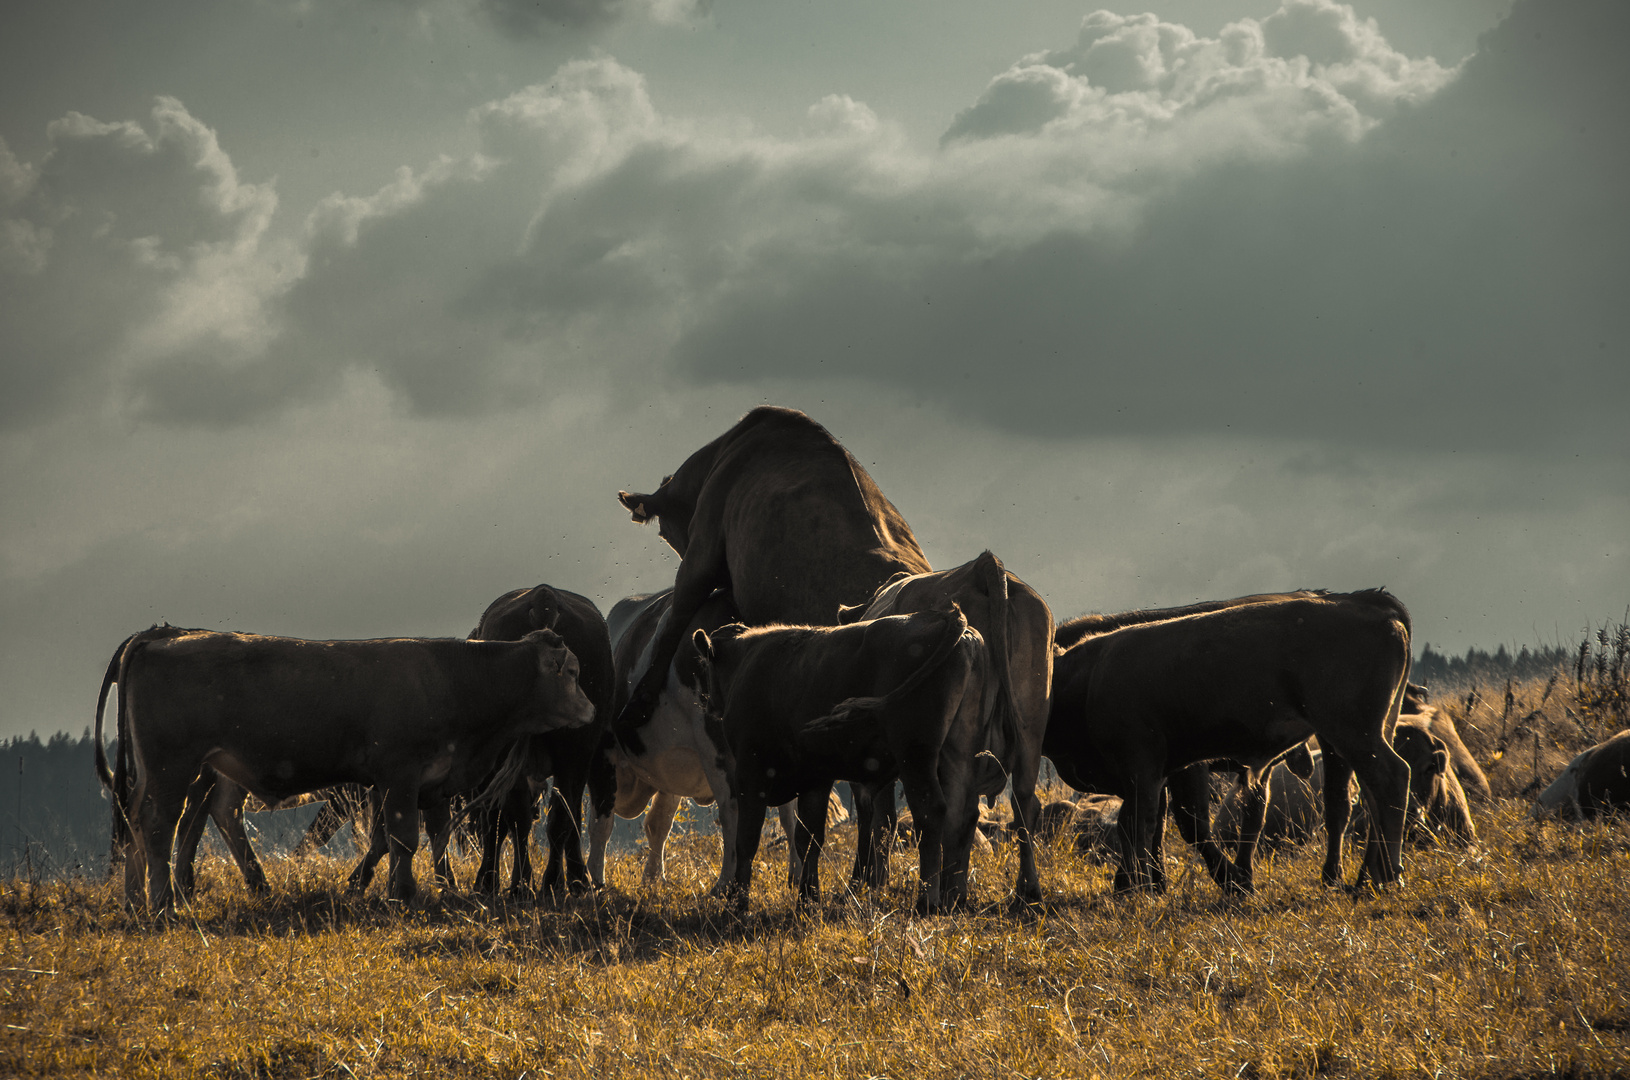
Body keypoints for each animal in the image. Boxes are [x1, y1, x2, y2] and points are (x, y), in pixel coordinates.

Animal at [95, 625, 596, 912]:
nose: (591, 710)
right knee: (160, 823)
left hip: (171, 770)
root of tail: (161, 639)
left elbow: (408, 838)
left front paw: (415, 888)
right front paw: (402, 894)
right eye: (572, 672)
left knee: (145, 818)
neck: (453, 678)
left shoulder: (426, 783)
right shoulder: (399, 775)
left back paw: (135, 900)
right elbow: (403, 837)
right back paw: (163, 904)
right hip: (172, 766)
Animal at [691, 609, 991, 912]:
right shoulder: (815, 780)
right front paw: (807, 900)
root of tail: (942, 616)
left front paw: (738, 902)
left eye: (705, 665)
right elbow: (809, 839)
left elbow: (747, 839)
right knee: (962, 815)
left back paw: (926, 901)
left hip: (915, 755)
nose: (707, 703)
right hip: (959, 752)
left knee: (930, 813)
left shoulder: (751, 774)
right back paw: (954, 896)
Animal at [834, 553, 1049, 905]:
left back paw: (946, 893)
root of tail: (983, 566)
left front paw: (865, 882)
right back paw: (1022, 890)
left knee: (955, 810)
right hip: (1030, 723)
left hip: (952, 743)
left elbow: (877, 817)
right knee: (1021, 804)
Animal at [1043, 592, 1414, 892]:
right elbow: (1139, 825)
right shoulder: (1151, 775)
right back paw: (1364, 876)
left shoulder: (1154, 768)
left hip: (1350, 733)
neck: (1087, 677)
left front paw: (1226, 880)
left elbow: (1162, 825)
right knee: (1360, 797)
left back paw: (1386, 875)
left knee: (1388, 779)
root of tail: (1363, 600)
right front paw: (1138, 883)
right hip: (1362, 735)